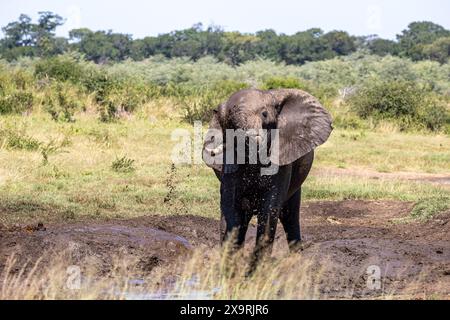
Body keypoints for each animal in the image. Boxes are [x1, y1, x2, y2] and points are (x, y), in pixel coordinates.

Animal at [202, 88, 332, 268]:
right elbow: (231, 207)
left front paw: (256, 272)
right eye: (226, 122)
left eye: (264, 114)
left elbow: (269, 209)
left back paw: (296, 262)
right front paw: (229, 270)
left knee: (290, 216)